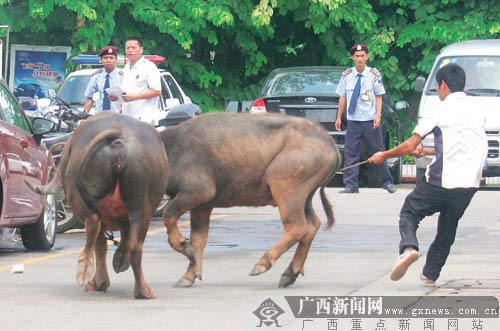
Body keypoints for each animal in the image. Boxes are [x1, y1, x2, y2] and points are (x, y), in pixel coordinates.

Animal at [28, 113, 168, 300]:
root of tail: (118, 137)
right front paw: (116, 264)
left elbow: (105, 243)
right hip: (141, 206)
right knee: (127, 243)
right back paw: (139, 290)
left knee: (98, 227)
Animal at [159, 112, 340, 288]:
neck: (170, 148)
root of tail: (327, 139)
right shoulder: (202, 206)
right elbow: (198, 241)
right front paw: (188, 276)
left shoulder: (198, 193)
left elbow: (169, 215)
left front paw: (183, 246)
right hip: (304, 199)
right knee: (312, 225)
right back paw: (289, 274)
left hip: (287, 192)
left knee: (298, 227)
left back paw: (262, 264)